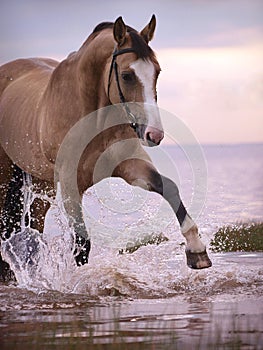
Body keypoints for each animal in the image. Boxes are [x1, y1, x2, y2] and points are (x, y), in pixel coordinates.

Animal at [0, 16, 212, 280]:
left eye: (157, 72)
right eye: (127, 75)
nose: (154, 134)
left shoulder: (131, 165)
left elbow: (169, 188)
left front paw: (197, 251)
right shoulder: (70, 183)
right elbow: (83, 244)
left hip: (42, 182)